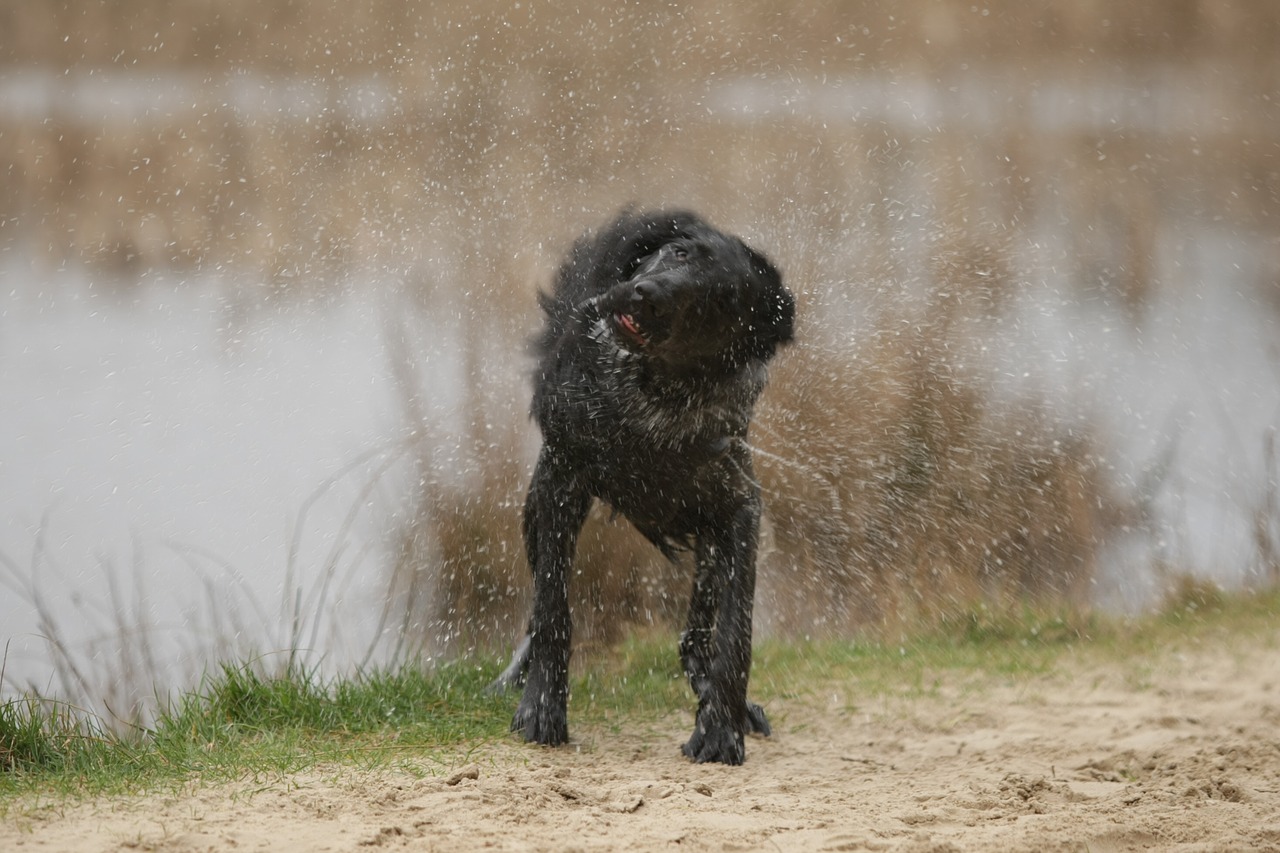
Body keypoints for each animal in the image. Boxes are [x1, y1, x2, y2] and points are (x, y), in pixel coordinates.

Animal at [486, 207, 788, 763]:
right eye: (679, 252)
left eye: (721, 298)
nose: (647, 294)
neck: (657, 401)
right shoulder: (560, 486)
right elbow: (554, 612)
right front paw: (542, 706)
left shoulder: (740, 508)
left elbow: (735, 634)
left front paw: (720, 729)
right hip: (534, 510)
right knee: (537, 614)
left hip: (708, 546)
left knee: (694, 640)